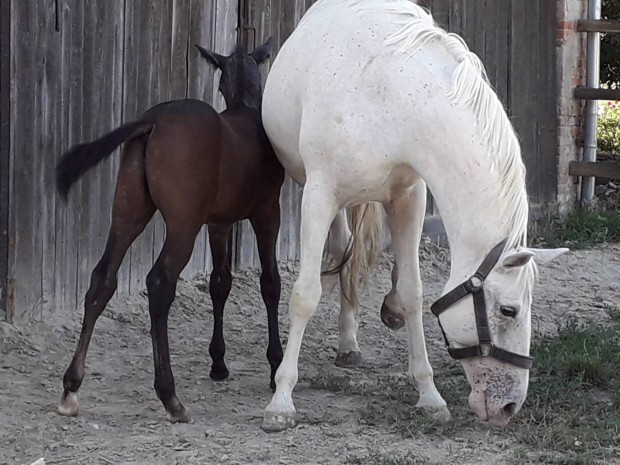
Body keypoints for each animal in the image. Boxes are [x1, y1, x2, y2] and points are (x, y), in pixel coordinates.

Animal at [55, 38, 284, 420]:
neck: (248, 115)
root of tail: (151, 122)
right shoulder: (267, 214)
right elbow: (270, 284)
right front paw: (275, 365)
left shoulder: (218, 223)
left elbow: (220, 284)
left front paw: (218, 363)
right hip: (182, 225)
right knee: (160, 283)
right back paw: (170, 396)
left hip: (128, 212)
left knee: (103, 278)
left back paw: (71, 387)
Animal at [260, 0, 568, 432]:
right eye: (510, 310)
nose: (510, 406)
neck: (389, 97)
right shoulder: (319, 194)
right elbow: (305, 294)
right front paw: (281, 399)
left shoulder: (409, 198)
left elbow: (412, 293)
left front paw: (429, 395)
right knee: (342, 251)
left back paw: (353, 338)